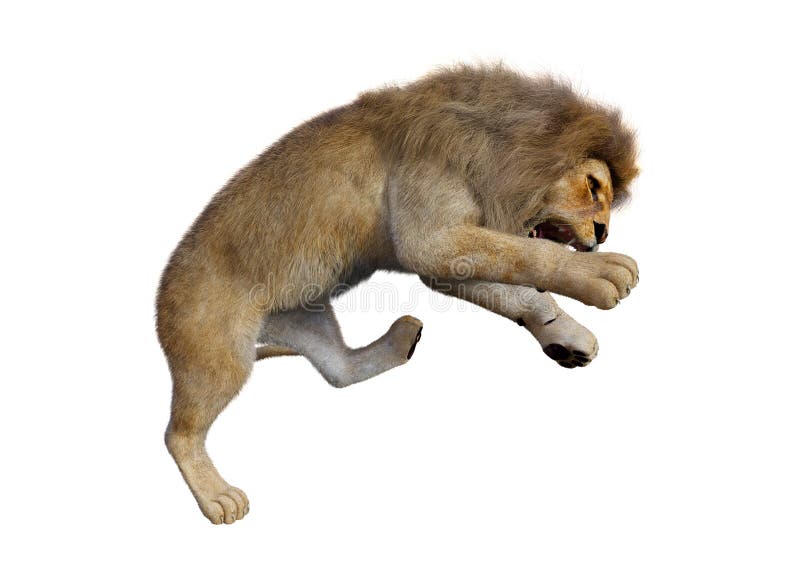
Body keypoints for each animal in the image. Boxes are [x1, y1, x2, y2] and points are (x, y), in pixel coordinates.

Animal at [156, 63, 639, 524]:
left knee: (340, 370)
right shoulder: (430, 239)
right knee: (178, 433)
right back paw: (217, 497)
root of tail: (162, 287)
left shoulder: (444, 259)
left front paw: (566, 336)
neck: (500, 146)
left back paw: (403, 340)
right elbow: (533, 253)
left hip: (304, 314)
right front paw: (603, 272)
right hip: (217, 351)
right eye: (593, 186)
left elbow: (522, 290)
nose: (603, 232)